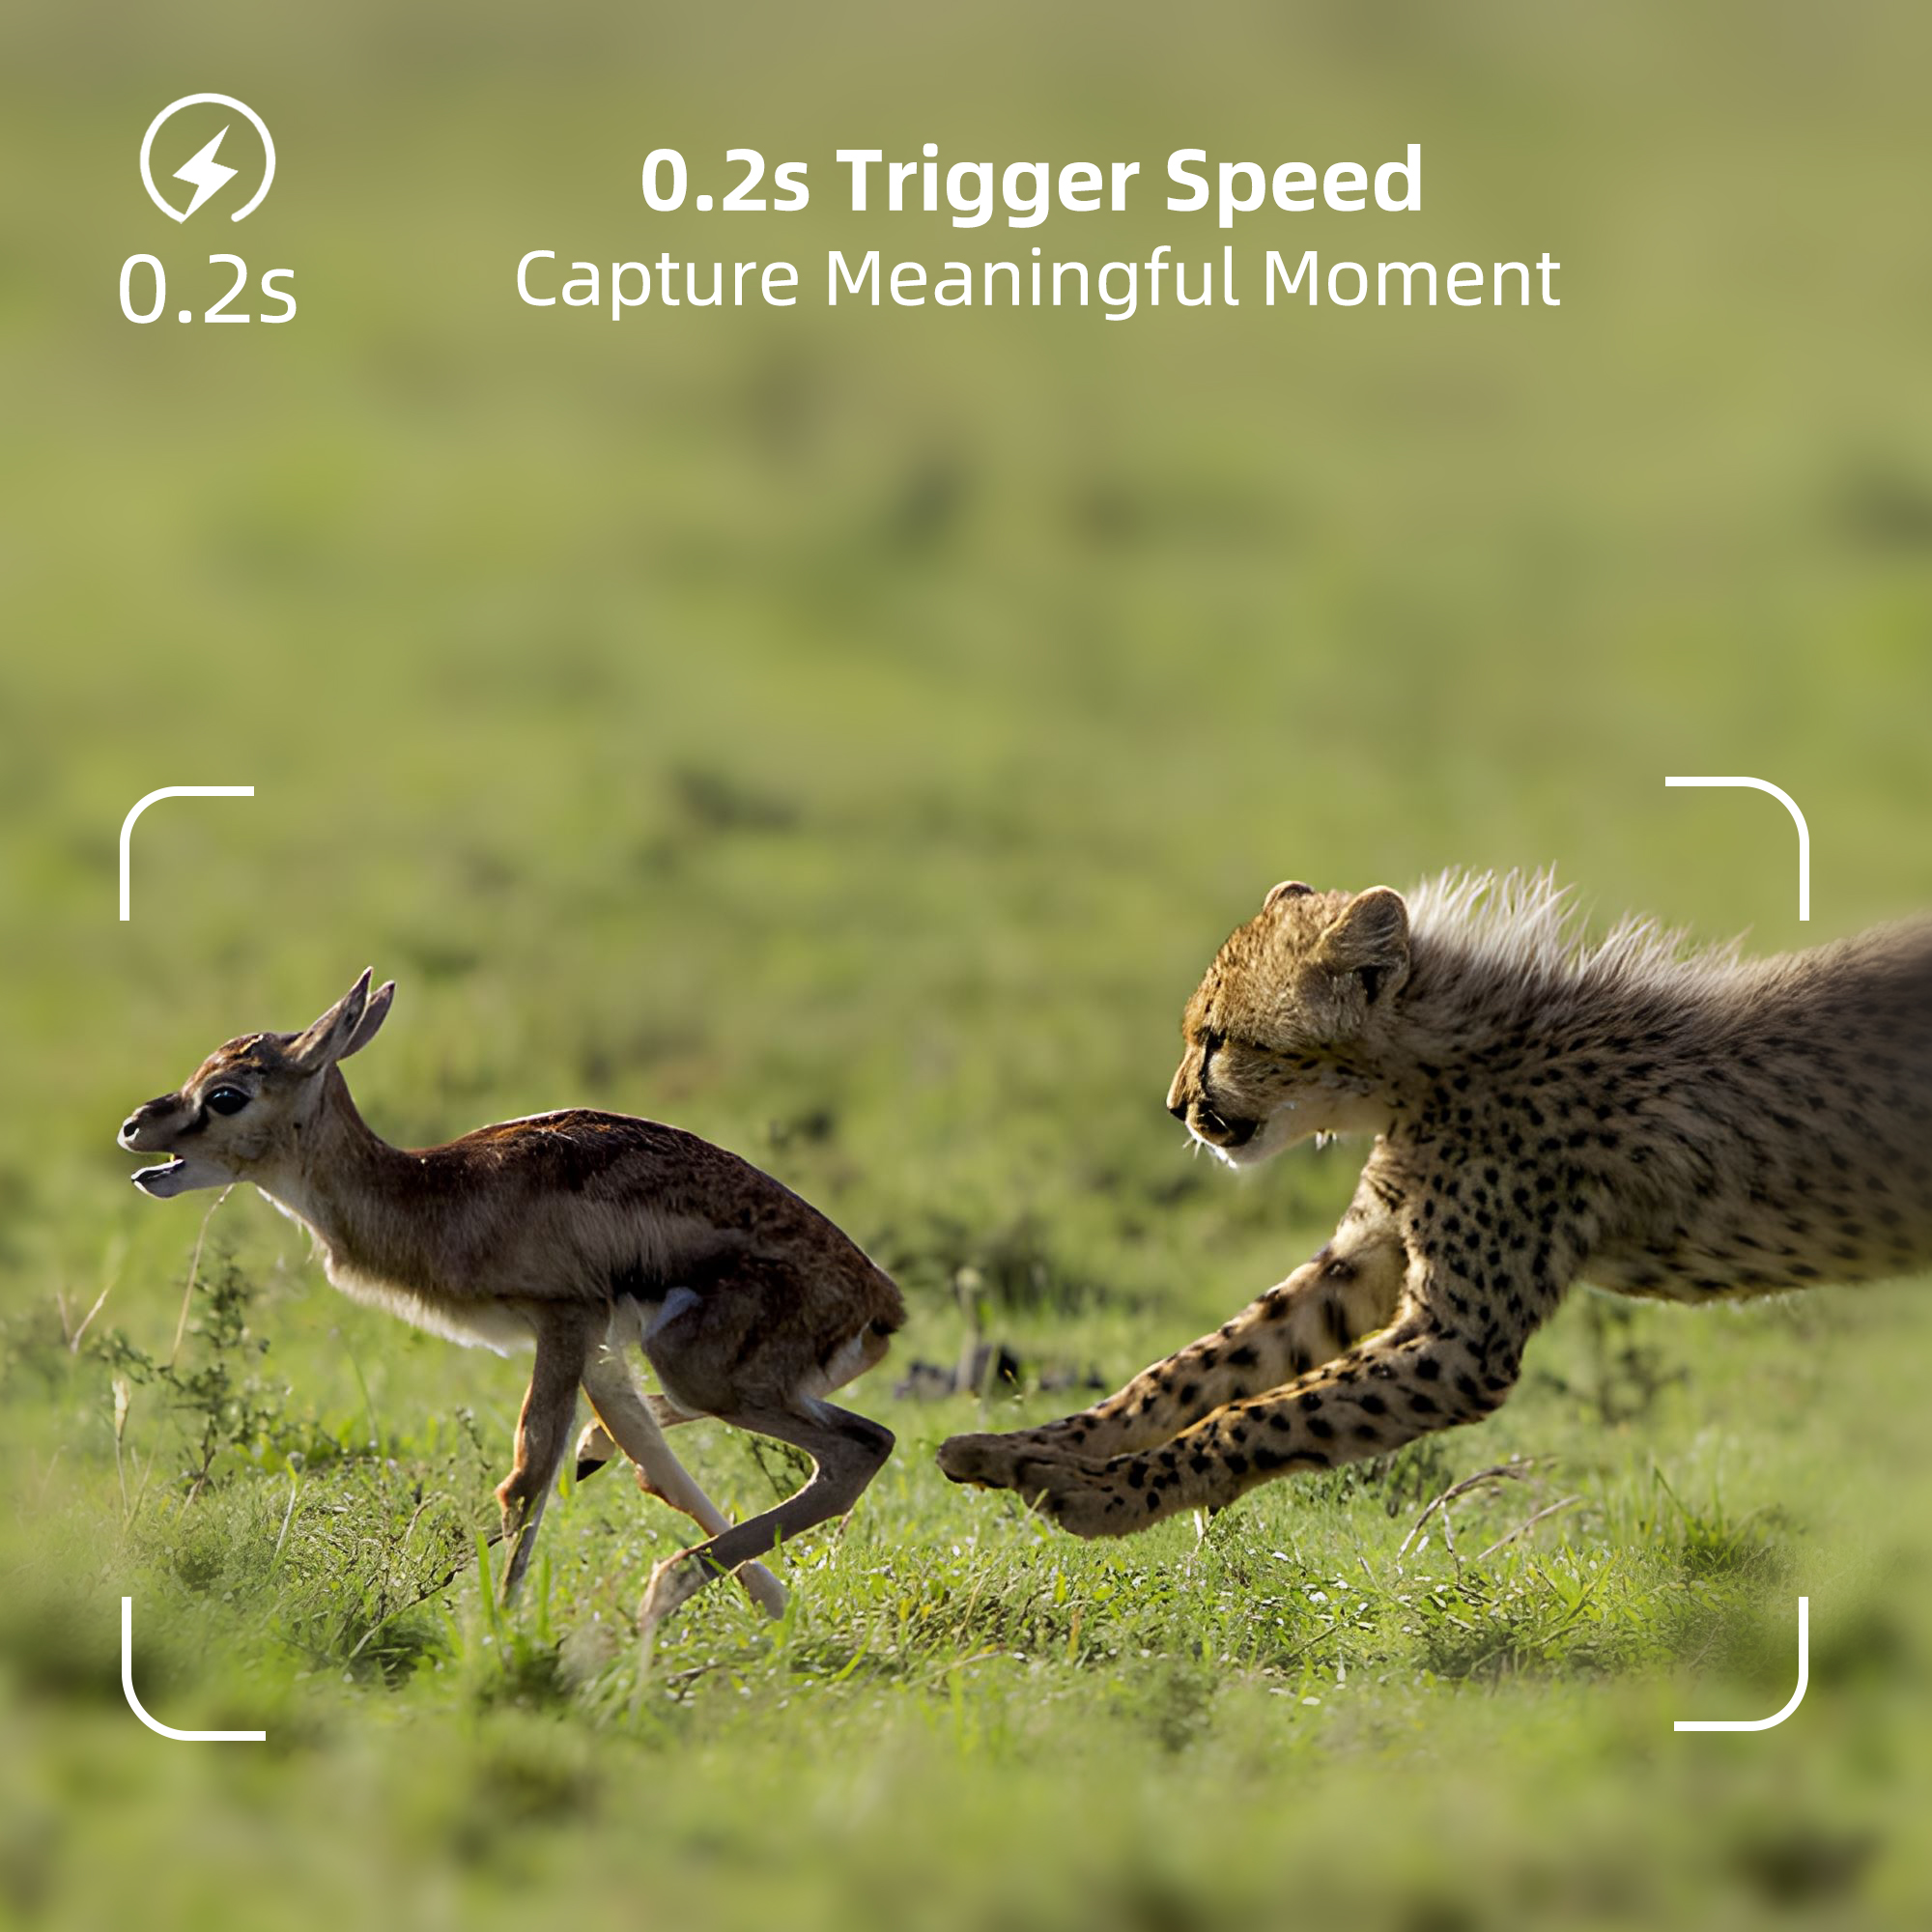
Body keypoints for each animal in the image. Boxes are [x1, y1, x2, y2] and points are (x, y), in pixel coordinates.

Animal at [117, 969, 903, 1640]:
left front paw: (501, 1634)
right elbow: (655, 1464)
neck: (439, 1192)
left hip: (699, 1368)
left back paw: (658, 1591)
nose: (134, 1127)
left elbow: (527, 1475)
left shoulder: (565, 1320)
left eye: (227, 1093)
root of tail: (881, 1305)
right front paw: (773, 1602)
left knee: (862, 1447)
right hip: (706, 1374)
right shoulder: (600, 1350)